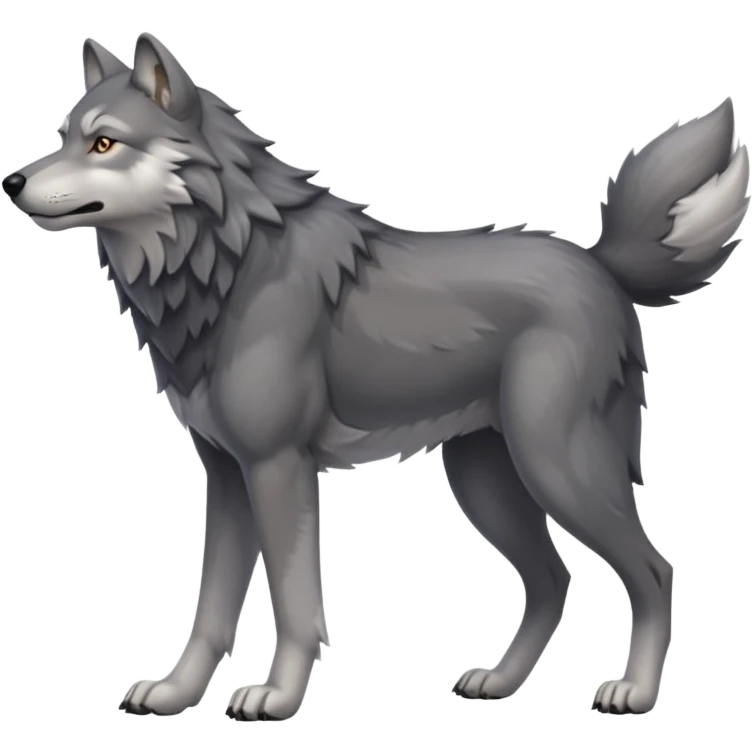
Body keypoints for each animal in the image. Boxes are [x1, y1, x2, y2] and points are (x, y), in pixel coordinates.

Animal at [3, 33, 749, 721]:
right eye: (64, 137)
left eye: (104, 143)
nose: (12, 182)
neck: (223, 264)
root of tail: (598, 262)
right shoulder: (226, 475)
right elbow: (211, 607)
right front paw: (178, 693)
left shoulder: (277, 468)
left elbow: (296, 603)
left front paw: (276, 697)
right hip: (485, 479)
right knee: (551, 579)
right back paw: (500, 683)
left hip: (556, 466)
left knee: (652, 571)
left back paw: (635, 692)